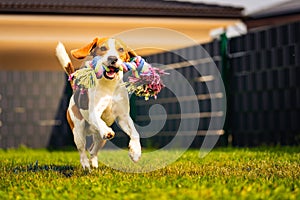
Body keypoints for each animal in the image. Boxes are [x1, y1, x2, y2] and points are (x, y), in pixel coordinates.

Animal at [56, 37, 142, 169]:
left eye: (121, 49)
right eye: (102, 48)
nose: (112, 58)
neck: (109, 86)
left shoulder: (123, 117)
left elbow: (134, 132)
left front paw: (135, 152)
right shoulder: (94, 113)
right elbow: (100, 121)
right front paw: (107, 131)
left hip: (100, 139)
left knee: (93, 150)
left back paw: (95, 165)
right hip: (78, 130)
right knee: (82, 150)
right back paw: (86, 165)